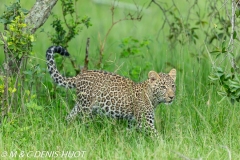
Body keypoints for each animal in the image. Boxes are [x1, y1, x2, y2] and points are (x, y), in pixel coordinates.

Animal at [46, 45, 176, 136]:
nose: (172, 97)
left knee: (70, 117)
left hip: (81, 106)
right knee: (82, 122)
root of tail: (80, 75)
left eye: (173, 86)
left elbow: (128, 133)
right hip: (86, 109)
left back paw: (66, 129)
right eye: (163, 87)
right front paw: (165, 145)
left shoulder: (132, 122)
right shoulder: (145, 123)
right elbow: (157, 136)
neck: (154, 99)